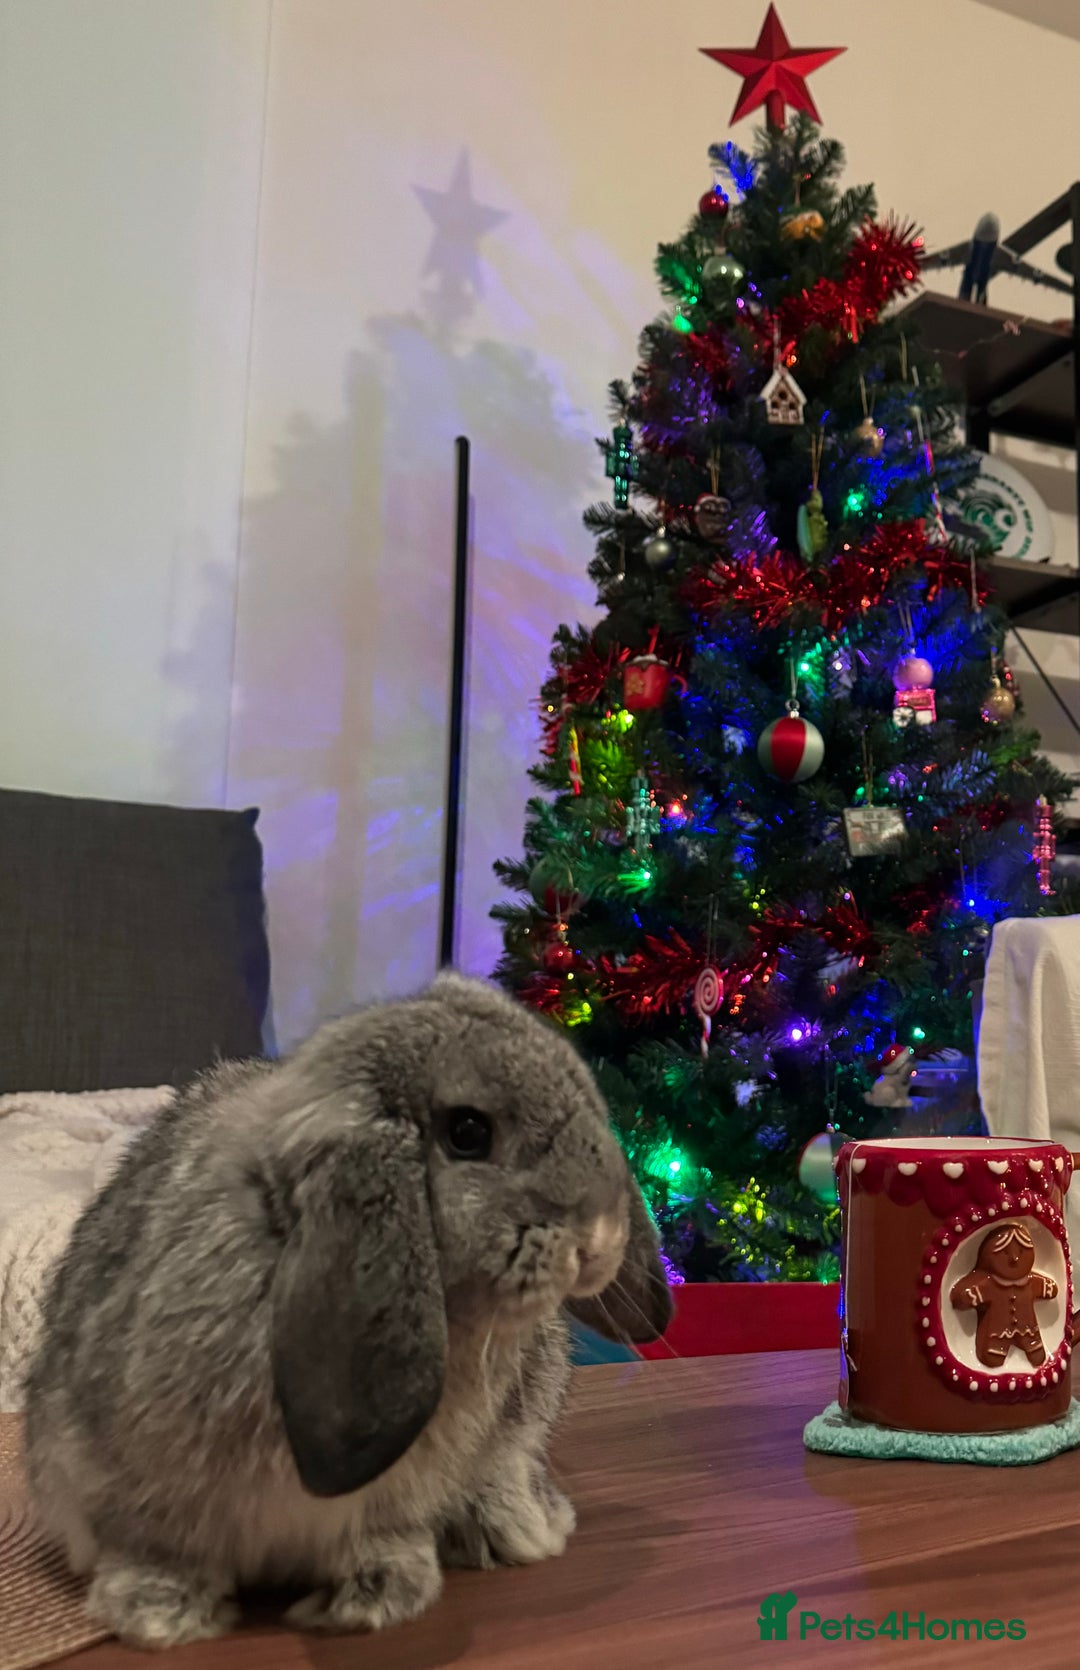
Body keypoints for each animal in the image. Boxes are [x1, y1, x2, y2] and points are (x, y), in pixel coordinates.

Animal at [24, 972, 671, 1649]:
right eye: (468, 1132)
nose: (600, 1237)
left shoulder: (395, 1500)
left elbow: (380, 1539)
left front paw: (376, 1598)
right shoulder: (132, 1485)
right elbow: (157, 1547)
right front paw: (158, 1613)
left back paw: (519, 1527)